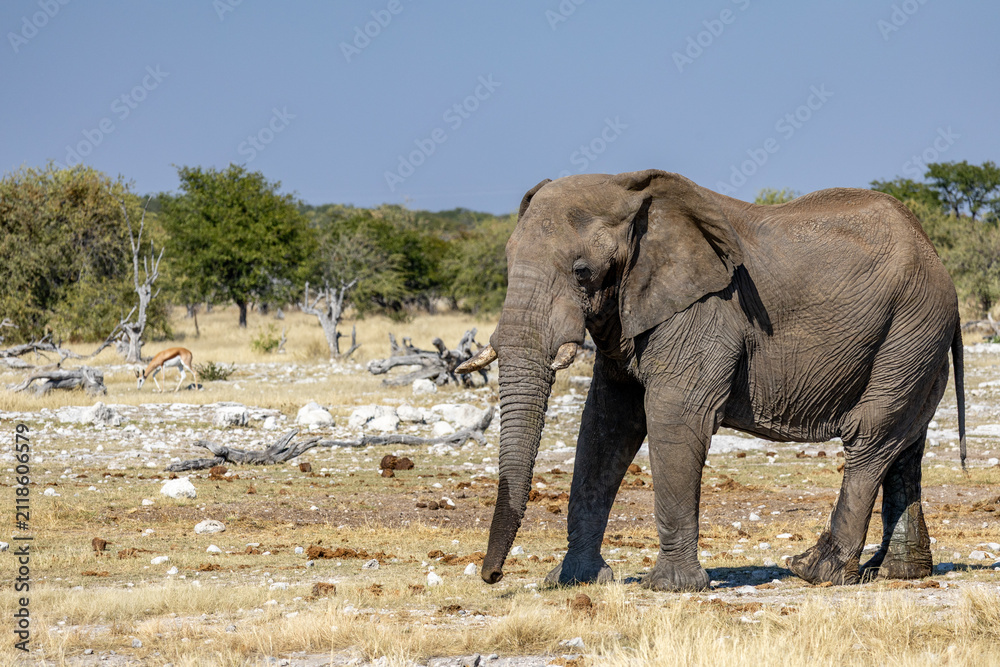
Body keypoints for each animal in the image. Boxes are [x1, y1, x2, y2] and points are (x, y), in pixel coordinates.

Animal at [457, 169, 966, 591]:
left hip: (915, 321)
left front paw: (670, 588)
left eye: (582, 272)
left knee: (872, 431)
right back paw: (896, 572)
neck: (628, 190)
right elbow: (606, 424)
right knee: (905, 443)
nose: (491, 576)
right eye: (506, 261)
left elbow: (672, 416)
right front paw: (574, 581)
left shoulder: (705, 309)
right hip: (916, 335)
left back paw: (814, 571)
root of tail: (934, 253)